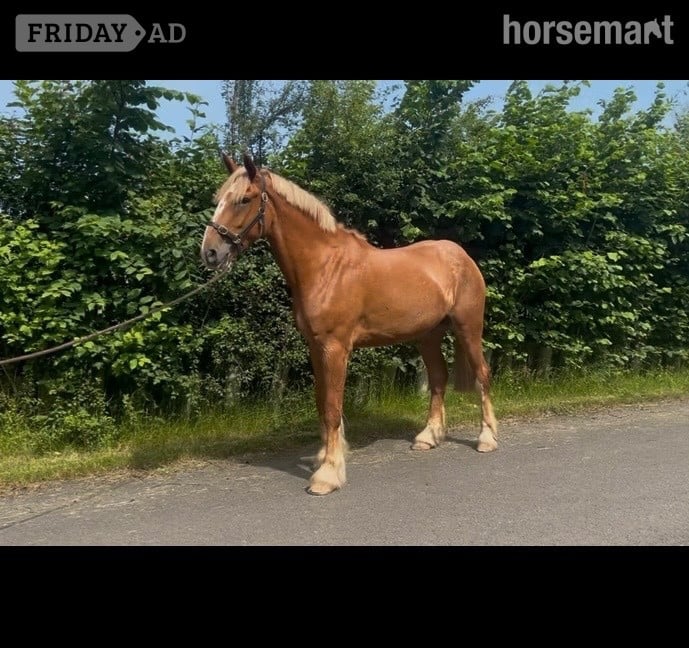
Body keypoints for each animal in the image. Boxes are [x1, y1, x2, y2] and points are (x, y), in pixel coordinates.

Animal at [201, 153, 498, 496]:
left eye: (244, 199)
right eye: (218, 199)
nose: (209, 252)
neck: (326, 267)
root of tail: (461, 256)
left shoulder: (335, 347)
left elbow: (332, 408)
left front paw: (327, 475)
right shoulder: (316, 347)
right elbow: (322, 403)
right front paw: (324, 458)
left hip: (468, 328)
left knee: (482, 374)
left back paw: (487, 439)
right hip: (428, 336)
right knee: (438, 378)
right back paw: (428, 437)